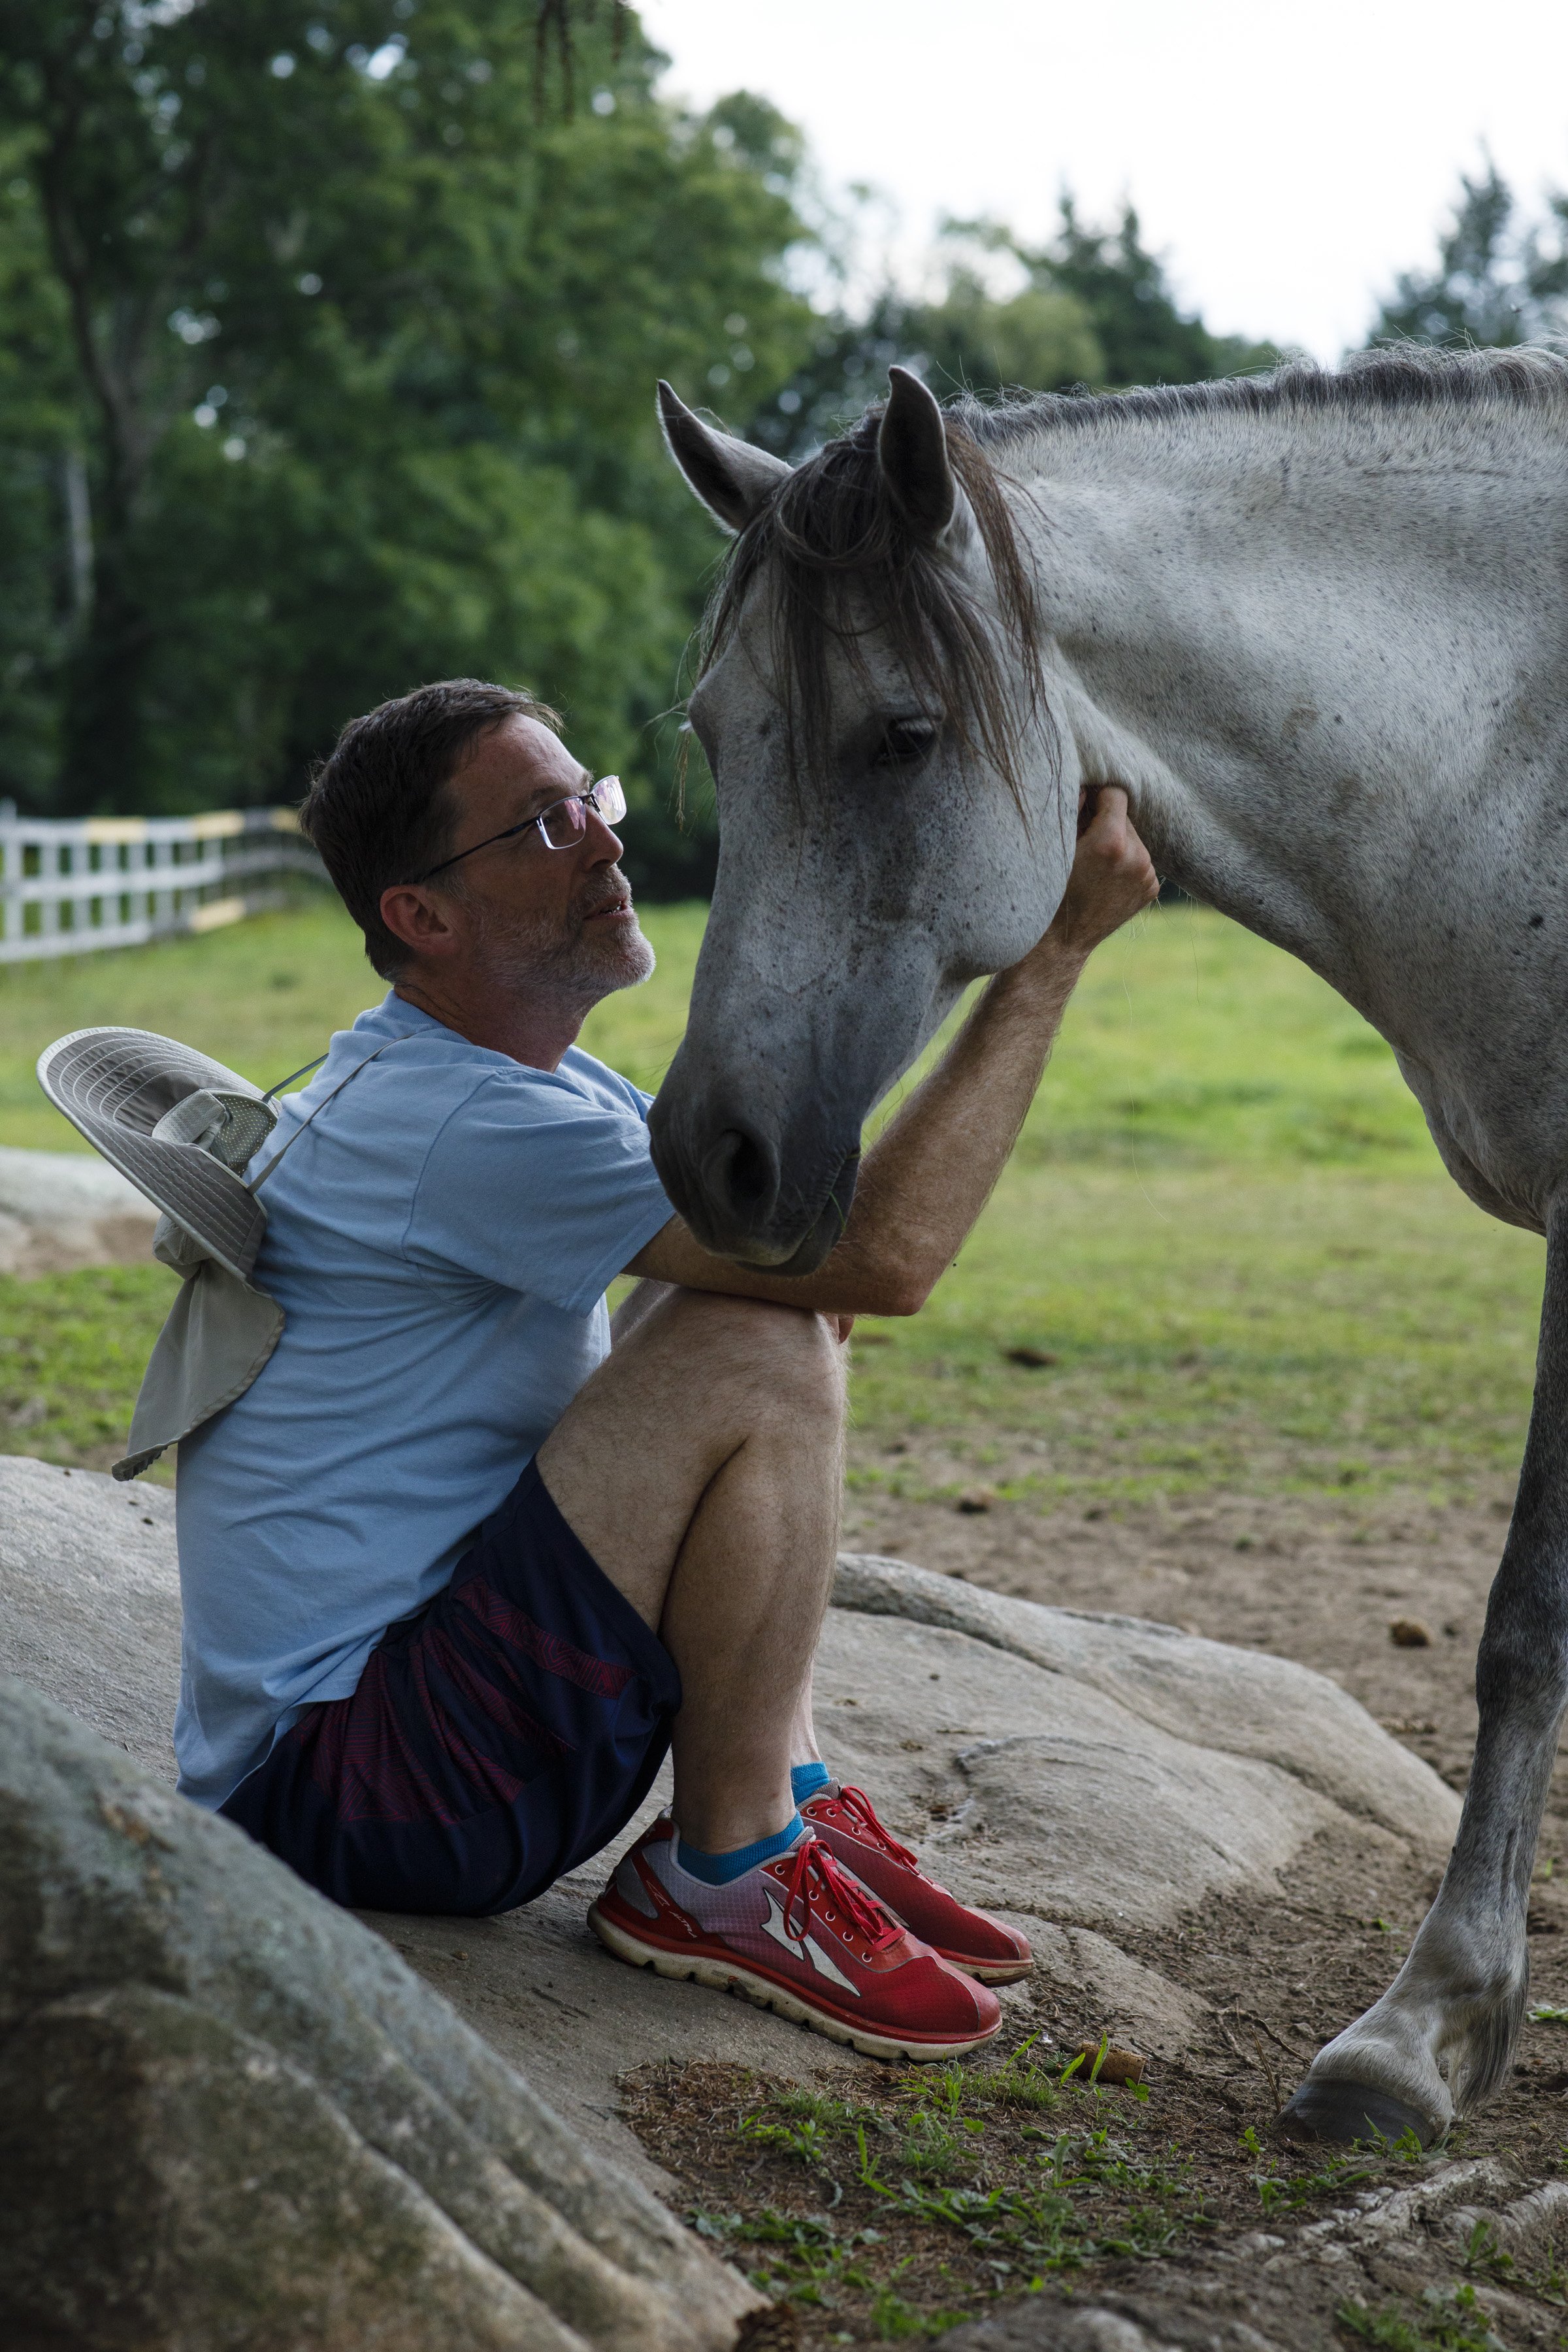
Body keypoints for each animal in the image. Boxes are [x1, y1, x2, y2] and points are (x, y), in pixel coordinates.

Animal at [658, 353, 1568, 2154]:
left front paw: (1417, 2030)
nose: (712, 1159)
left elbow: (1522, 1619)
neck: (1524, 745)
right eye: (715, 736)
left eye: (904, 735)